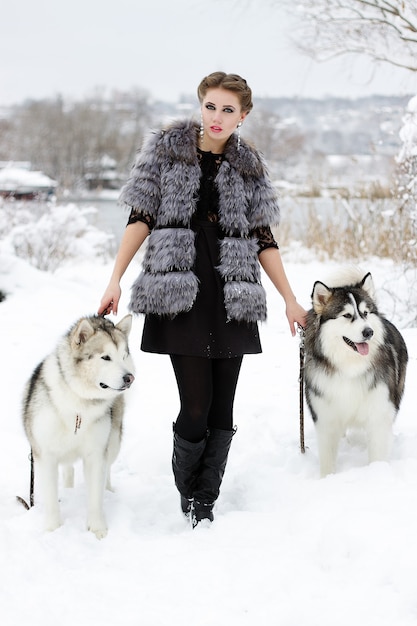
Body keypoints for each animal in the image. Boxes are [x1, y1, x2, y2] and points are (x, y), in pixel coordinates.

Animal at [22, 312, 135, 536]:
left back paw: (108, 491)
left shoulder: (96, 453)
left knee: (107, 470)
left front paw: (97, 530)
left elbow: (95, 496)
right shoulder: (45, 454)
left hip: (113, 442)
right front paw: (53, 529)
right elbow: (50, 497)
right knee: (68, 469)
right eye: (105, 357)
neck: (79, 403)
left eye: (123, 355)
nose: (129, 378)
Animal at [302, 266, 406, 476]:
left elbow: (377, 451)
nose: (369, 332)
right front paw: (327, 480)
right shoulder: (325, 416)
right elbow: (327, 459)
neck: (349, 366)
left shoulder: (379, 412)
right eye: (347, 315)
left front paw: (377, 473)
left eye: (365, 313)